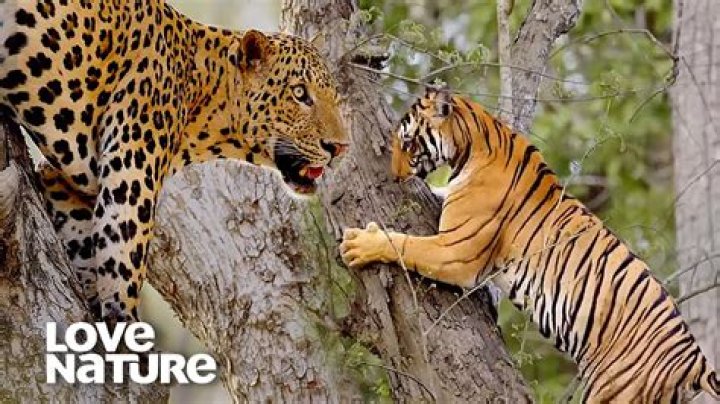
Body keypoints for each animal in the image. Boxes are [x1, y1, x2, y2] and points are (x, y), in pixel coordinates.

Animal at [340, 87, 720, 403]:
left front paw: (359, 242)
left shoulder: (455, 252)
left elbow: (403, 243)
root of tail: (694, 360)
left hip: (614, 391)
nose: (393, 175)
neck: (473, 142)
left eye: (407, 143)